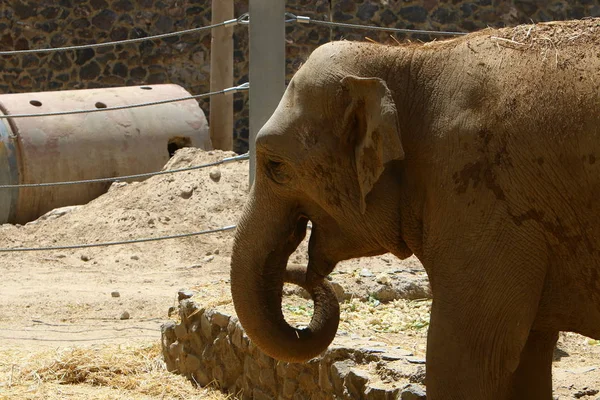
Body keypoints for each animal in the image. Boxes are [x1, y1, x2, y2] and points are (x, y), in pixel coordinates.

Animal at [229, 18, 600, 400]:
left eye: (275, 166)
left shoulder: (481, 193)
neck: (408, 58)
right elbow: (527, 356)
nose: (305, 274)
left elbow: (461, 359)